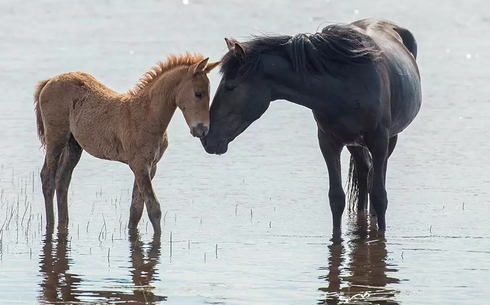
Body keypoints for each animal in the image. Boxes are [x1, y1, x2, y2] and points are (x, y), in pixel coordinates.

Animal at [200, 18, 422, 233]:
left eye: (229, 87)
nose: (207, 137)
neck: (347, 83)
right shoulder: (328, 142)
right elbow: (336, 198)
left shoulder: (379, 140)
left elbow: (379, 196)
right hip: (355, 144)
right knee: (363, 174)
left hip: (389, 140)